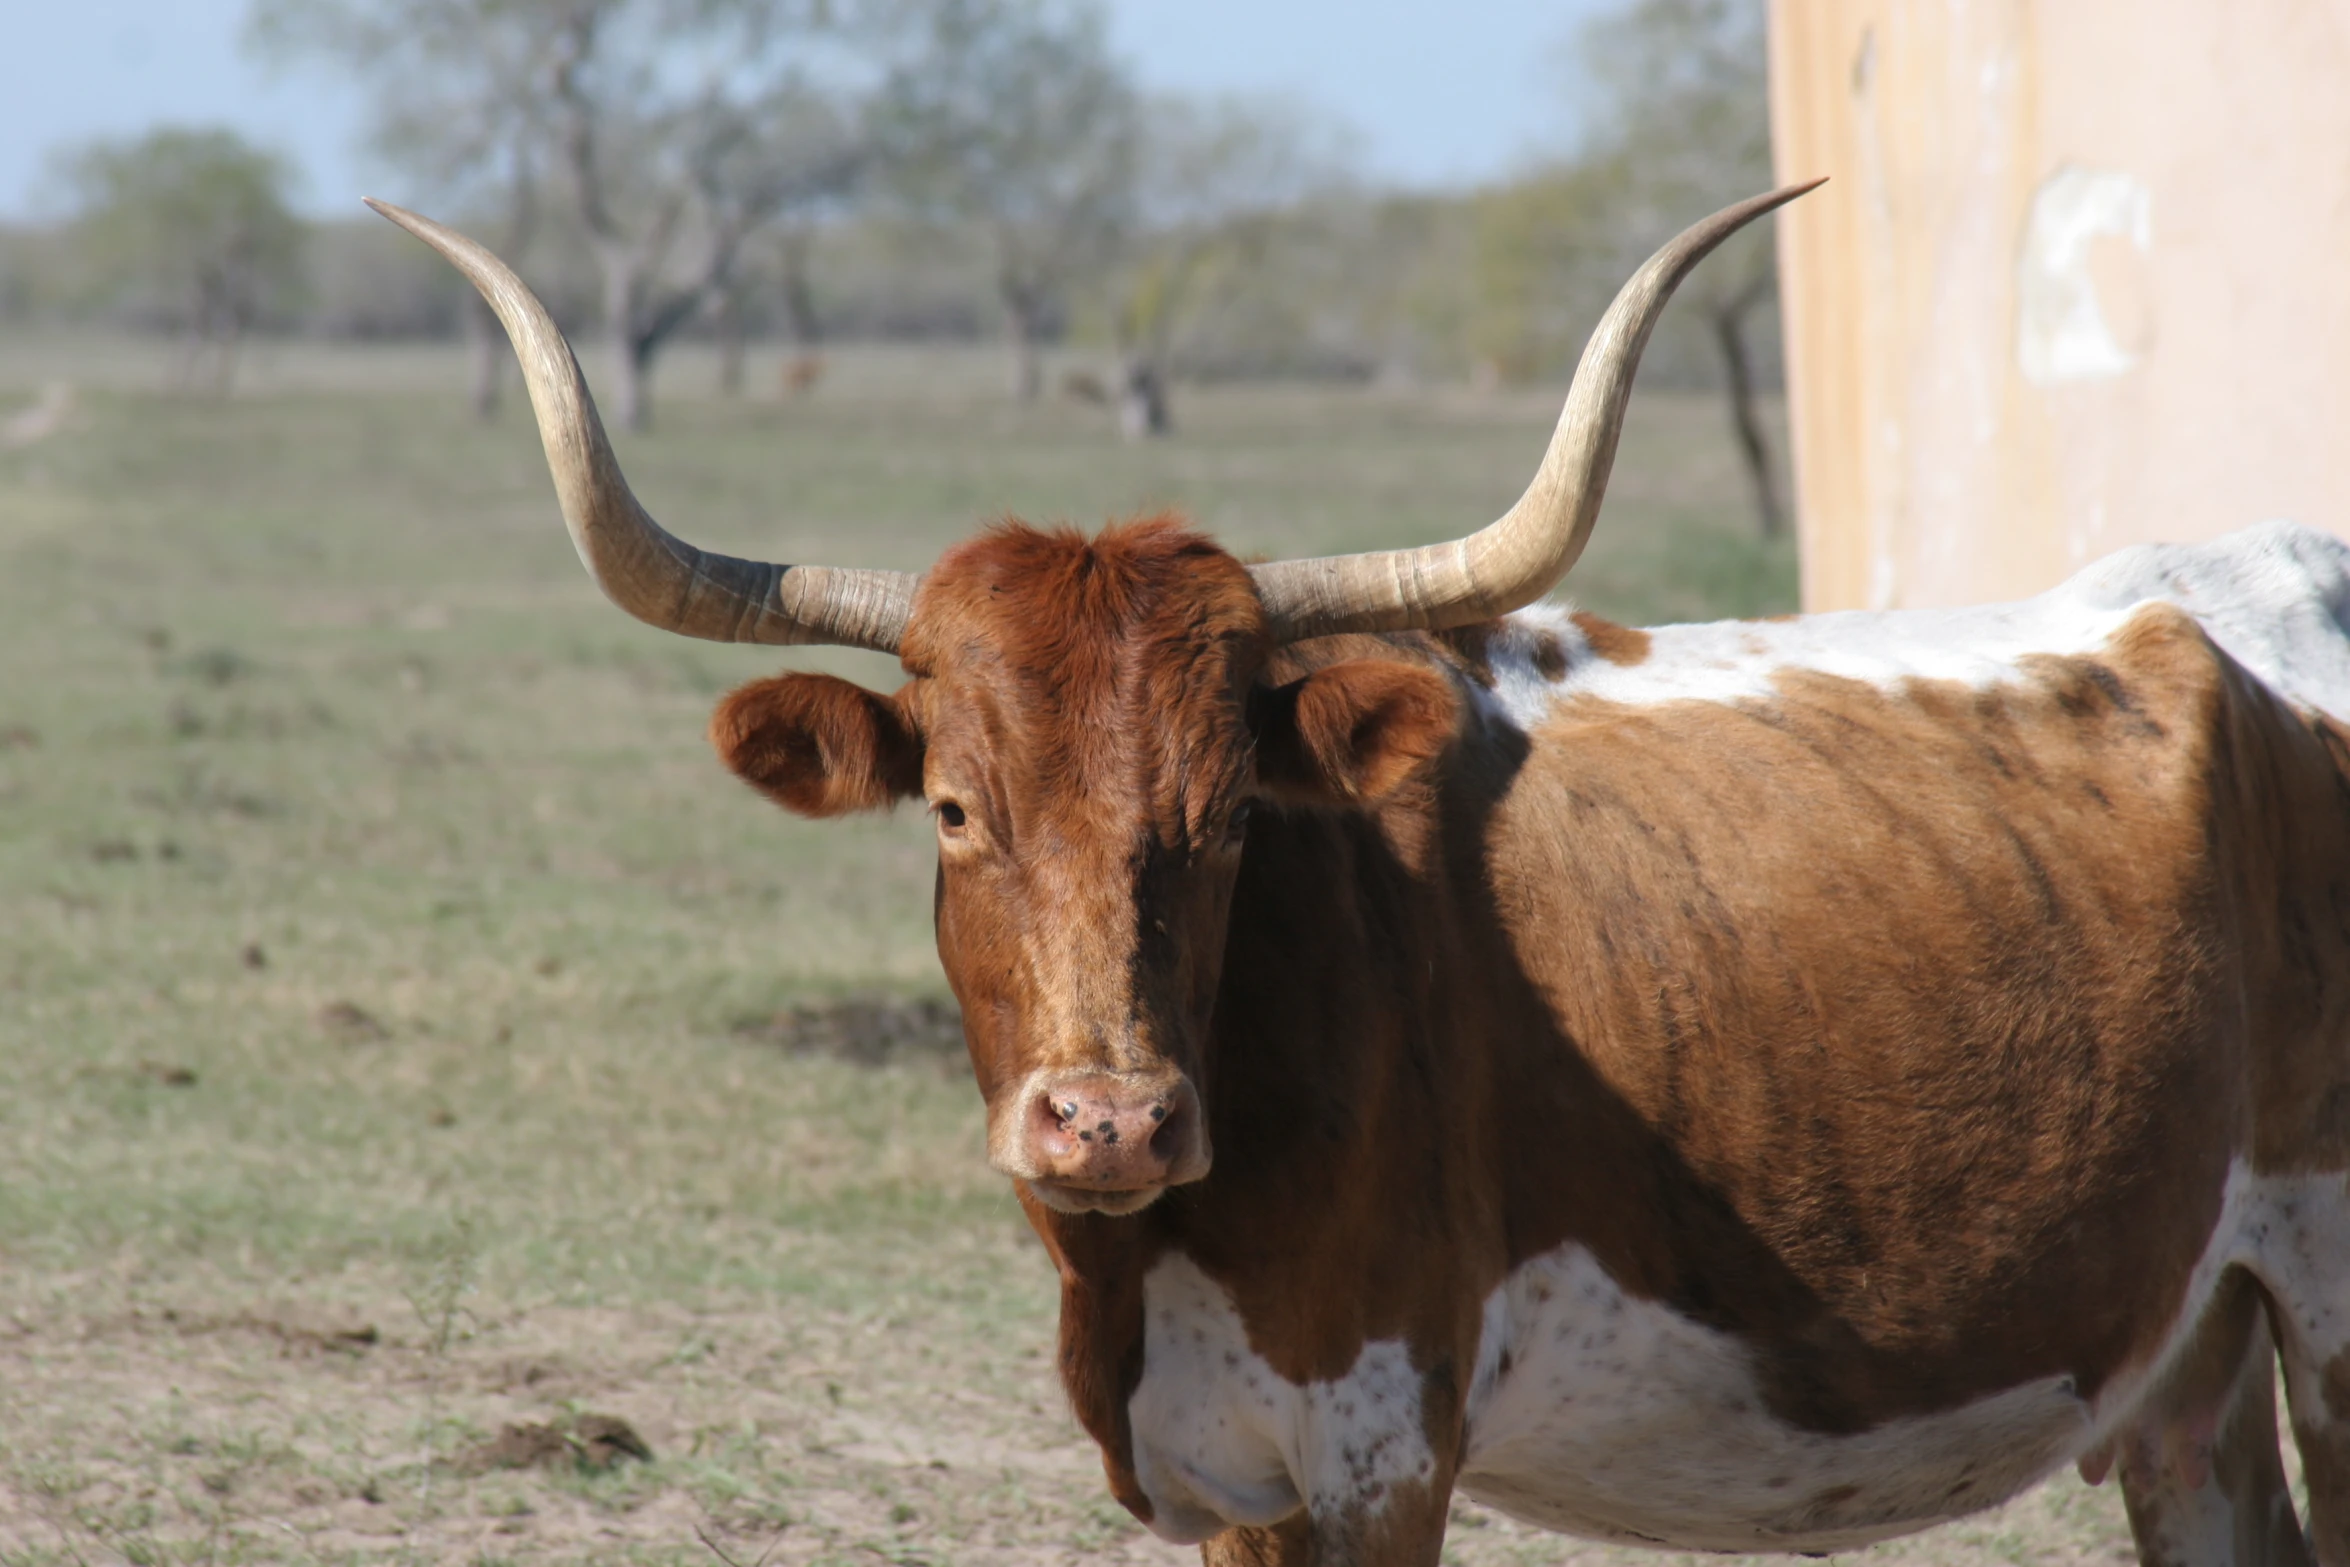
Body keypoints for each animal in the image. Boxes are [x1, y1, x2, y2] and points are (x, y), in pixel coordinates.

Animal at [376, 186, 2350, 1567]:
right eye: (948, 808)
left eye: (1233, 814)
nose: (1109, 1119)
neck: (1148, 1252)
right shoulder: (1231, 1477)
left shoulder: (1382, 1454)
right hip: (2190, 1348)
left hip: (2332, 1304)